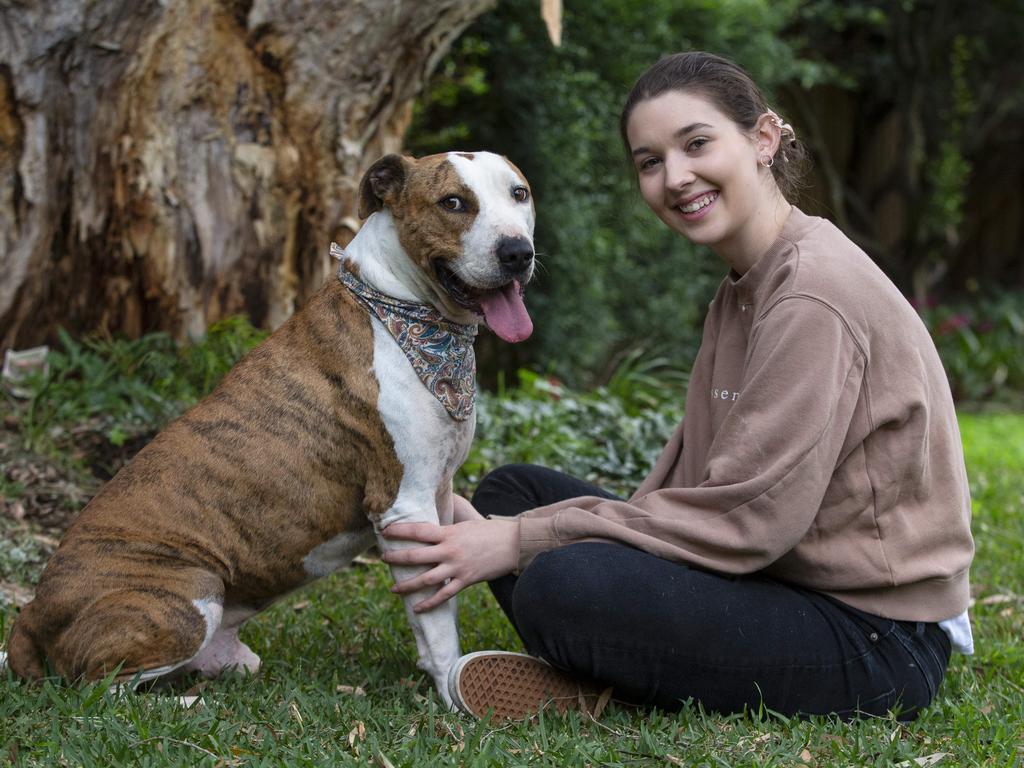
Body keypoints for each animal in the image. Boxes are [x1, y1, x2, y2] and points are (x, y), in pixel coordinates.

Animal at [2, 151, 536, 708]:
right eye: (452, 203)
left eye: (519, 193)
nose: (517, 252)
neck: (402, 312)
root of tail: (28, 618)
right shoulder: (404, 504)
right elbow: (435, 616)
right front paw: (453, 688)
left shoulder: (439, 495)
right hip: (186, 593)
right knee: (98, 690)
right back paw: (188, 705)